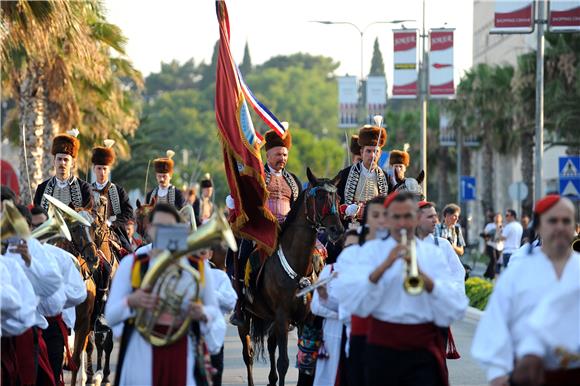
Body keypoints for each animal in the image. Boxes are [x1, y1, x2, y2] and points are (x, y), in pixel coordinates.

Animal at [237, 168, 342, 386]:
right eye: (319, 197)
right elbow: (284, 362)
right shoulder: (283, 316)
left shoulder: (306, 318)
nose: (337, 230)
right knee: (248, 354)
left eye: (337, 198)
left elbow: (305, 359)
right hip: (246, 317)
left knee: (270, 344)